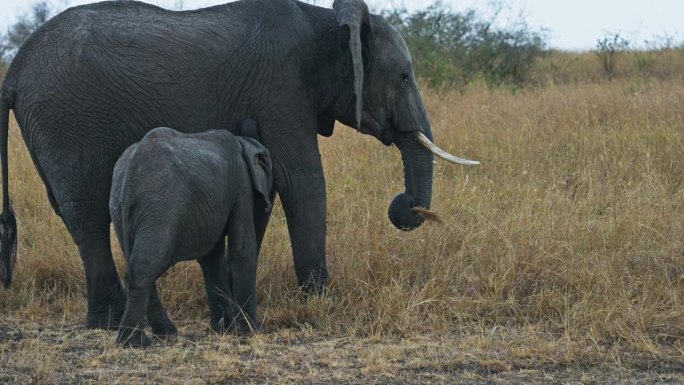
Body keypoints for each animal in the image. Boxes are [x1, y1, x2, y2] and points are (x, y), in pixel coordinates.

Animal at [108, 124, 272, 346]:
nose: (267, 205)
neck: (243, 142)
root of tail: (130, 178)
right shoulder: (241, 183)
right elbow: (242, 247)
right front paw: (253, 331)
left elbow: (211, 258)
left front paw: (223, 330)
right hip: (161, 208)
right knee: (146, 267)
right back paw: (134, 342)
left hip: (119, 206)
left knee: (138, 265)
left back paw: (159, 335)